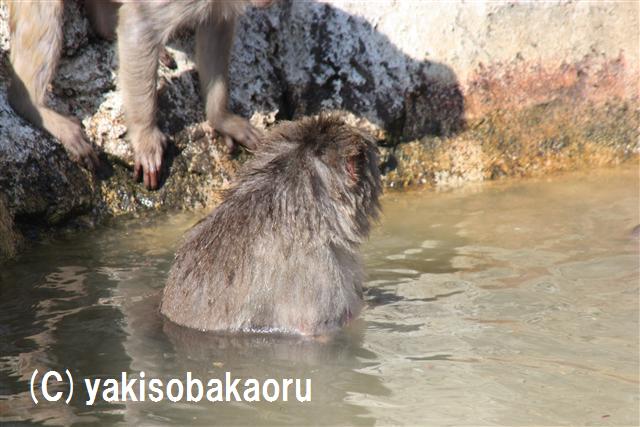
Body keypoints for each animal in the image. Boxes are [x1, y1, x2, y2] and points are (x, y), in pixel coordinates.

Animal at [6, 0, 270, 189]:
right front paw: (145, 138)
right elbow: (138, 24)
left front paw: (222, 119)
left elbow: (216, 25)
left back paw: (106, 25)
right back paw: (31, 105)